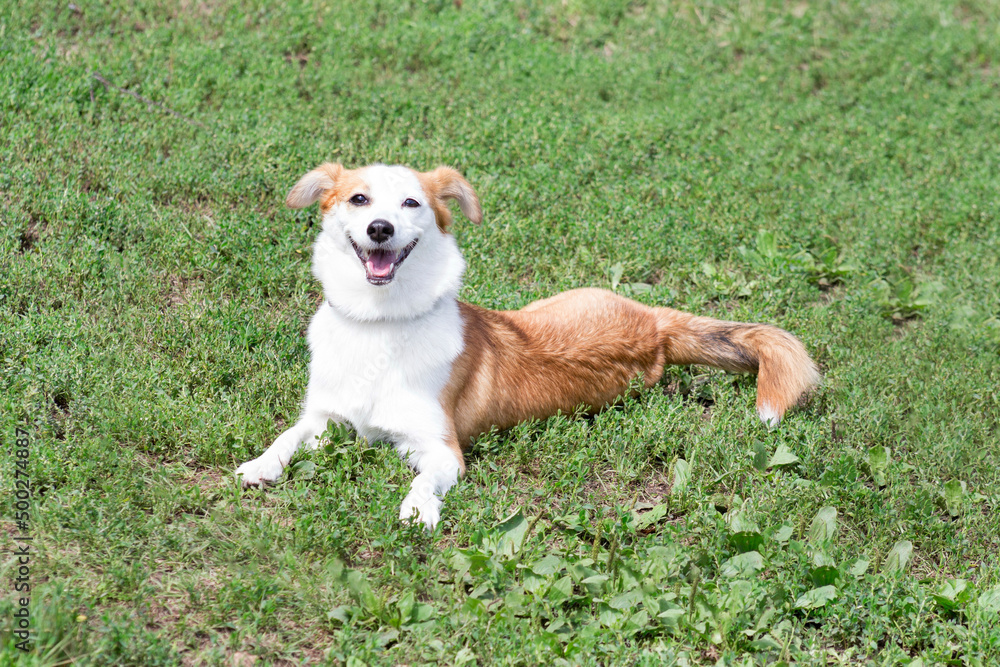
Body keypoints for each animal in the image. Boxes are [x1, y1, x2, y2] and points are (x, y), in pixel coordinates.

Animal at [236, 163, 820, 528]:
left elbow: (426, 481)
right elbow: (288, 435)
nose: (381, 228)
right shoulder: (324, 417)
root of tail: (654, 326)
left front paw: (419, 509)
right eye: (359, 199)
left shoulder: (439, 449)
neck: (380, 322)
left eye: (411, 202)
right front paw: (260, 464)